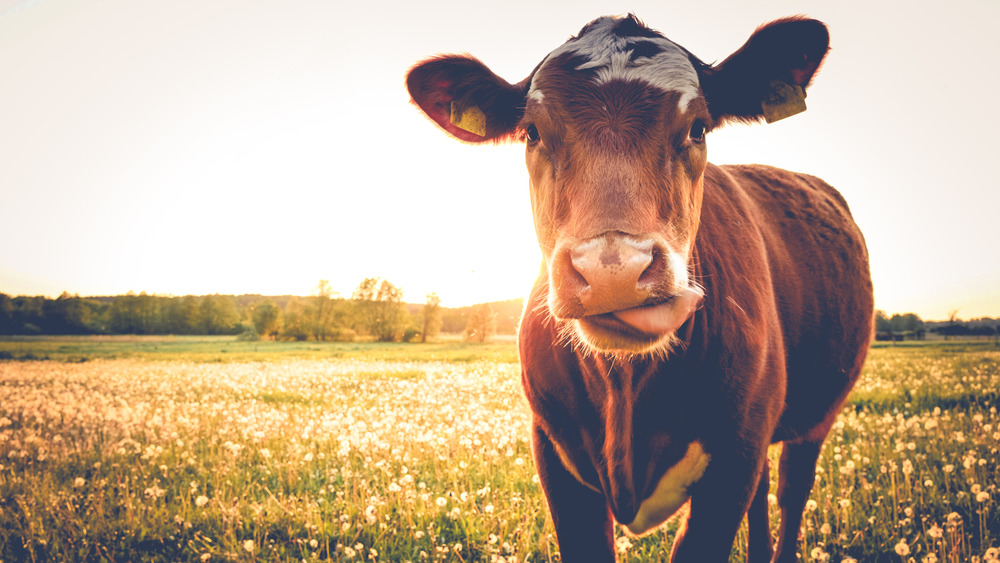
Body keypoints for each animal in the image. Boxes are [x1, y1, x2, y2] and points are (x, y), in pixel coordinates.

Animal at [402, 13, 872, 563]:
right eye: (532, 132)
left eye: (697, 127)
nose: (614, 270)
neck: (624, 387)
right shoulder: (554, 454)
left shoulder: (734, 456)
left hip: (814, 419)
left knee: (792, 491)